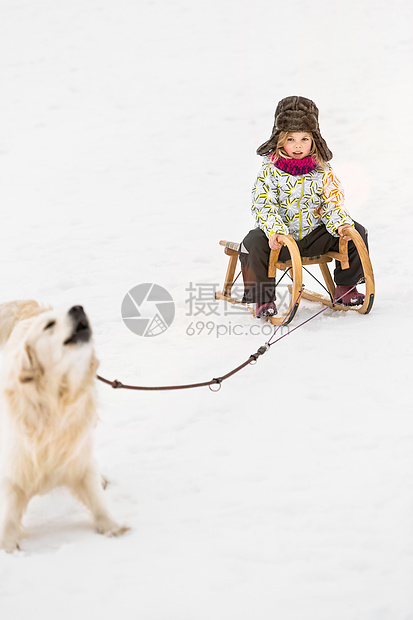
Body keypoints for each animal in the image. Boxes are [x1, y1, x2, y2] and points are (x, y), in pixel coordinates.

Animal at [0, 300, 128, 552]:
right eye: (49, 325)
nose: (77, 308)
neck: (55, 401)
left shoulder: (77, 455)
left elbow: (95, 496)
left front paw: (111, 527)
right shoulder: (15, 467)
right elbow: (9, 513)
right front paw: (8, 546)